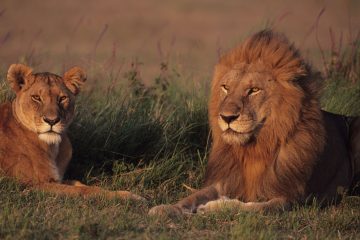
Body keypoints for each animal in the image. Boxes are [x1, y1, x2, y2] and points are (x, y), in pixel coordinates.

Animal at [1, 63, 145, 201]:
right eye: (36, 97)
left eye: (62, 98)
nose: (52, 120)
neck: (52, 148)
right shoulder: (30, 186)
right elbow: (83, 191)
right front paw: (130, 196)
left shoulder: (56, 180)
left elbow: (80, 184)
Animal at [148, 29, 360, 216]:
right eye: (225, 87)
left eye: (254, 90)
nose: (227, 117)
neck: (255, 148)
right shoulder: (225, 180)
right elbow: (192, 197)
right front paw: (167, 208)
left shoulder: (290, 198)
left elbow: (252, 207)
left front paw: (214, 207)